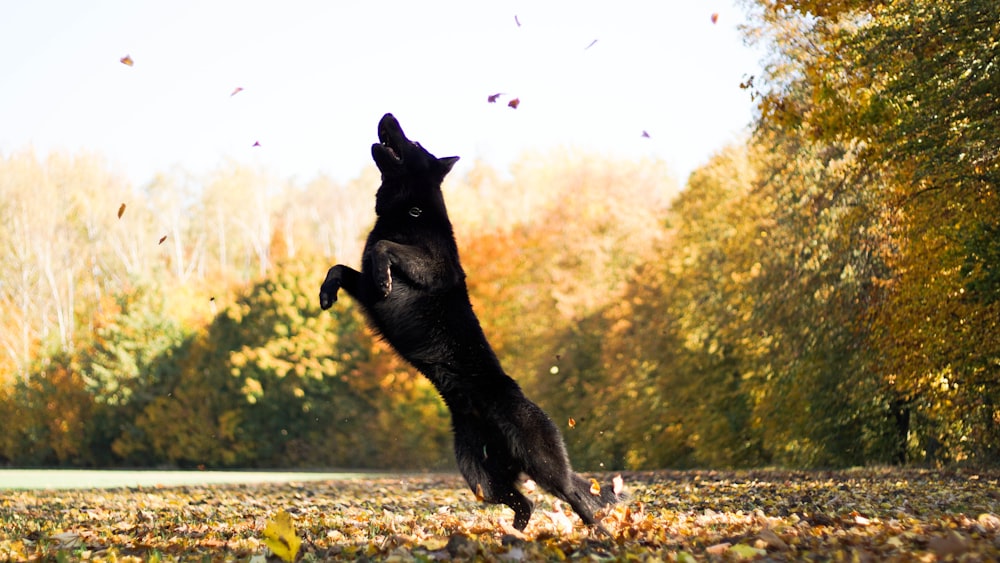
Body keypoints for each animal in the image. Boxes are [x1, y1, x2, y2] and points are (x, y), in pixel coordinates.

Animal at [318, 112, 616, 532]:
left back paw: (600, 533)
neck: (410, 212)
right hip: (480, 476)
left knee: (575, 496)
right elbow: (340, 268)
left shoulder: (430, 267)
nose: (387, 115)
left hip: (541, 463)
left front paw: (381, 271)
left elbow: (384, 249)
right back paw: (512, 535)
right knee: (525, 504)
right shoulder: (364, 288)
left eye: (414, 141)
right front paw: (326, 294)